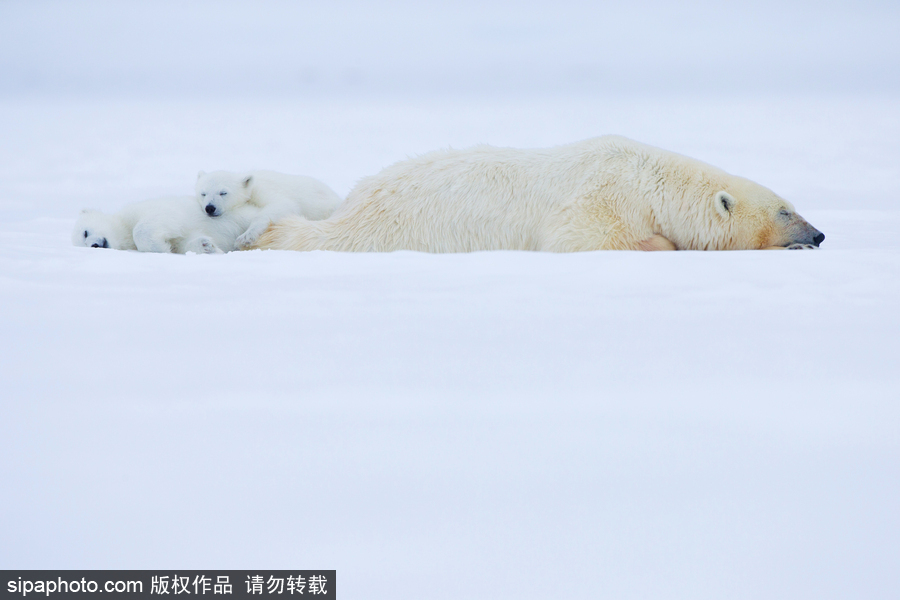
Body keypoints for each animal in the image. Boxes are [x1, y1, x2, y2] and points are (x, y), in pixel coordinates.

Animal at [73, 197, 236, 253]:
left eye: (85, 232)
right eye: (83, 244)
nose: (94, 245)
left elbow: (156, 220)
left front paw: (160, 247)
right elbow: (184, 241)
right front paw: (207, 246)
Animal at [197, 170, 344, 250]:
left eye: (223, 192)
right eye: (203, 193)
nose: (210, 208)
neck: (250, 189)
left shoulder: (263, 189)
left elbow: (282, 205)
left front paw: (246, 237)